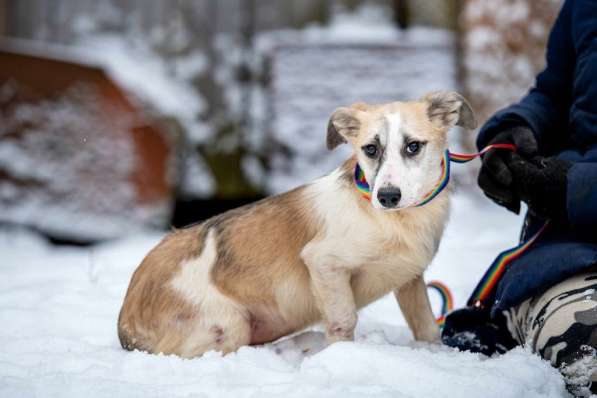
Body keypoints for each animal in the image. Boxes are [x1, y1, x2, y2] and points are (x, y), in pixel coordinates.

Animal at [118, 90, 478, 358]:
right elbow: (343, 321)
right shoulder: (324, 262)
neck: (392, 219)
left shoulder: (410, 278)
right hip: (228, 324)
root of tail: (125, 322)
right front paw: (344, 360)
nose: (388, 196)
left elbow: (426, 326)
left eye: (413, 146)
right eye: (370, 149)